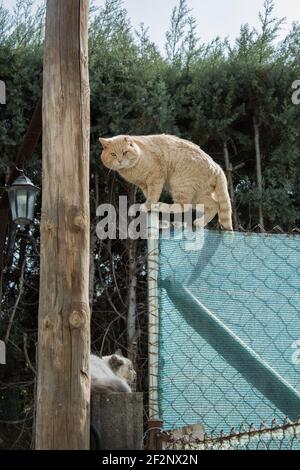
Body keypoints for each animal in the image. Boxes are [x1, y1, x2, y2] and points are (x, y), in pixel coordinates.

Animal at [99, 133, 233, 230]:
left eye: (125, 152)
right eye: (113, 154)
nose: (120, 160)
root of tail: (217, 166)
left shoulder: (156, 177)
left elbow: (152, 196)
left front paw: (147, 206)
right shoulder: (144, 185)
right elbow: (149, 195)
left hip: (180, 184)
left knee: (182, 206)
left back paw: (161, 206)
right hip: (197, 196)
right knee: (214, 205)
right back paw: (200, 222)